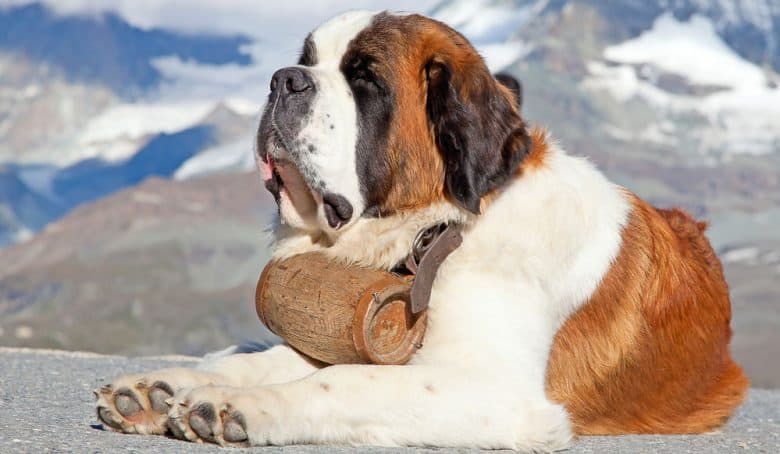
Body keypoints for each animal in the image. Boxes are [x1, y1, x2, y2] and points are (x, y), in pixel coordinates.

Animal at [96, 10, 748, 450]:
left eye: (364, 79)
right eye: (306, 58)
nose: (284, 79)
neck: (437, 231)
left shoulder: (494, 390)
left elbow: (347, 381)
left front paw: (239, 406)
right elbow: (279, 358)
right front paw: (166, 388)